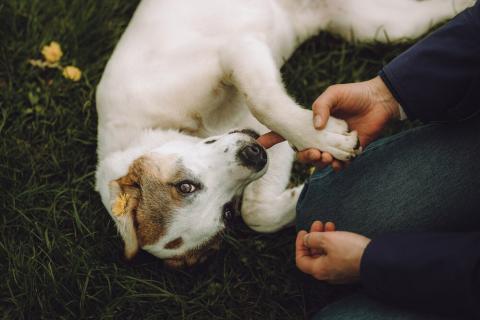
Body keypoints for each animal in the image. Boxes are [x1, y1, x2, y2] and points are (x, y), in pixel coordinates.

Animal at [94, 0, 472, 268]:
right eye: (226, 214)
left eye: (184, 186)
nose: (252, 155)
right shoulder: (266, 140)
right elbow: (258, 213)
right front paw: (300, 195)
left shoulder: (237, 50)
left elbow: (264, 100)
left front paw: (324, 139)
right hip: (375, 26)